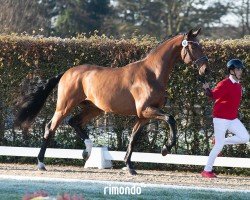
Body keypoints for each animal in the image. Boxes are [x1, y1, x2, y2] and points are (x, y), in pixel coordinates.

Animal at [14, 28, 209, 175]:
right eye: (193, 47)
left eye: (201, 45)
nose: (205, 69)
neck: (152, 73)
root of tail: (68, 72)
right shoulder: (146, 110)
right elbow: (171, 119)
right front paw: (165, 148)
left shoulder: (143, 116)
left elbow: (133, 138)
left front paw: (129, 166)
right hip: (64, 106)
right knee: (51, 128)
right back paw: (41, 163)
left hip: (94, 109)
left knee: (74, 122)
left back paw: (87, 151)